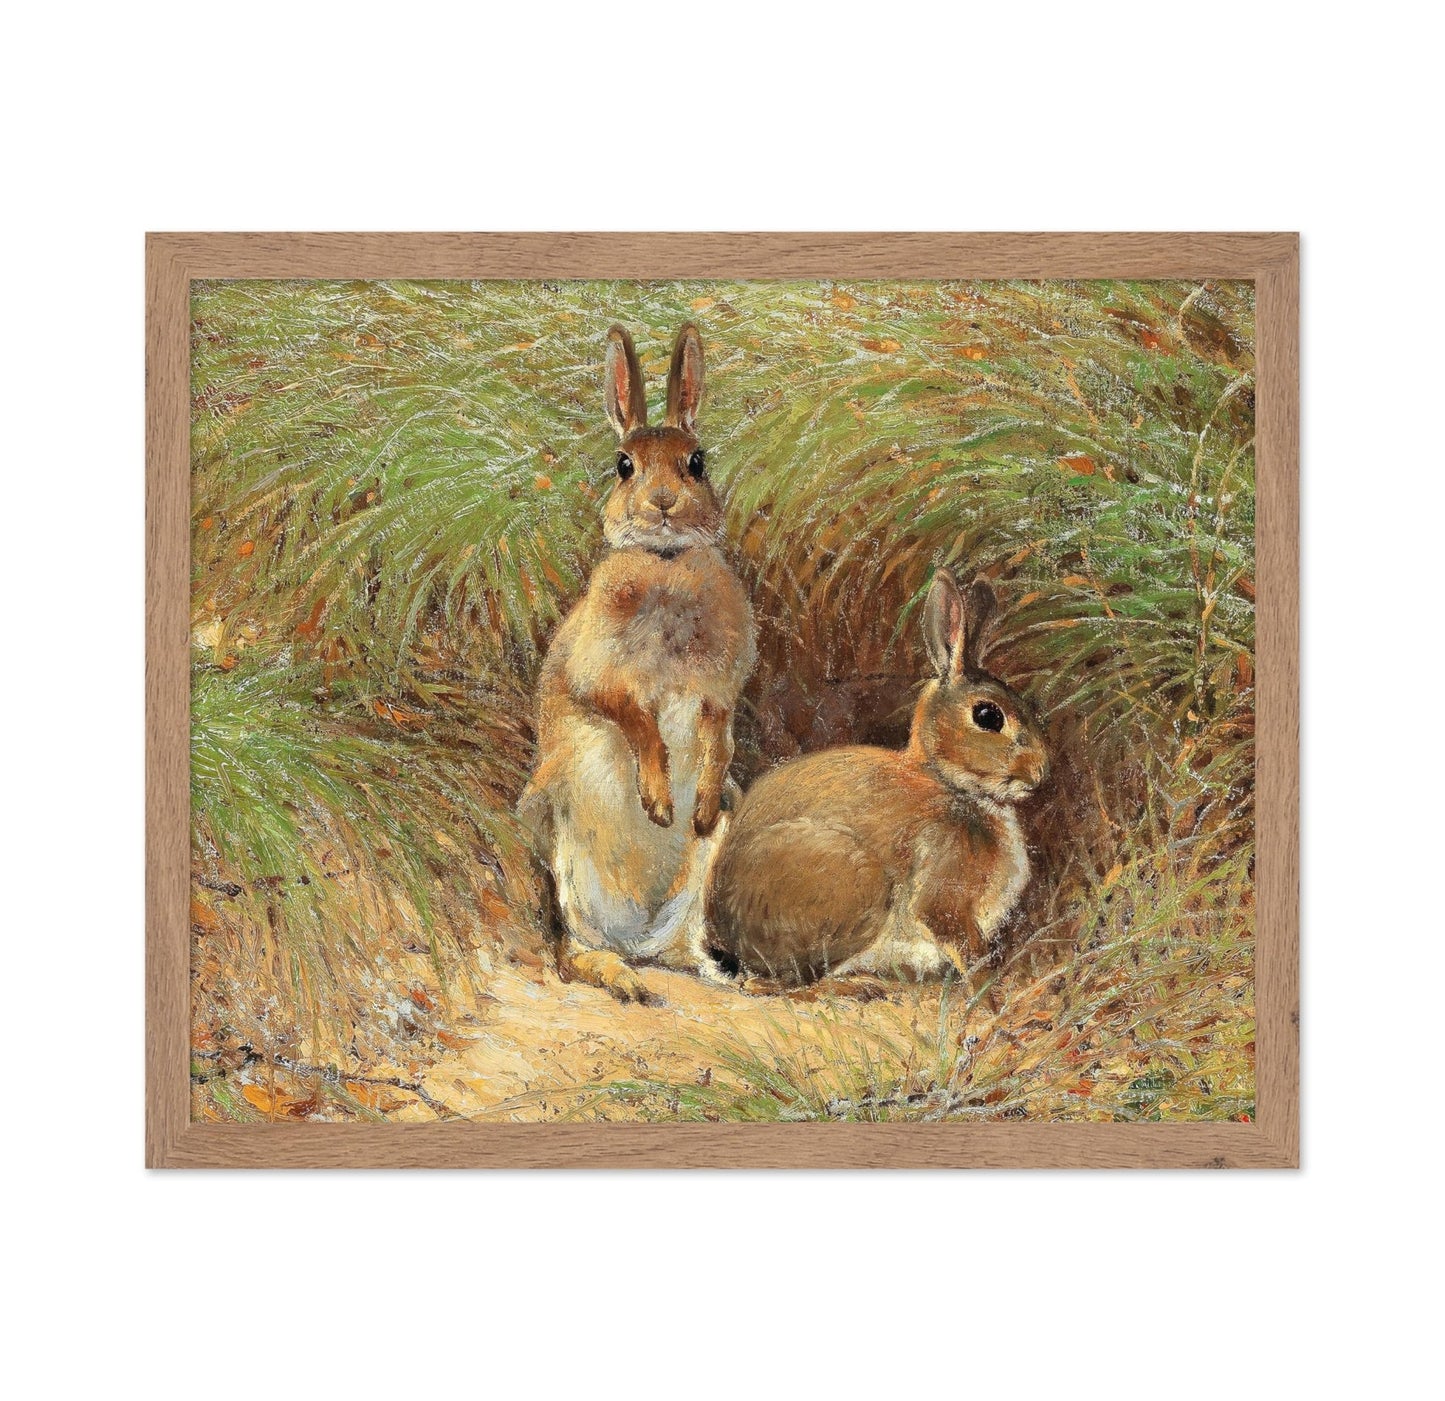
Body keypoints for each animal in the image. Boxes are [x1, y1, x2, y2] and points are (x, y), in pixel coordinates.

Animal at [518, 323, 756, 1004]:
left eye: (697, 462)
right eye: (624, 465)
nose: (665, 503)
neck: (665, 565)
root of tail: (639, 935)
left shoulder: (719, 692)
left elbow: (718, 735)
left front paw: (693, 807)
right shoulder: (597, 675)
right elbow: (635, 718)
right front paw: (658, 802)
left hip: (705, 868)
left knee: (682, 947)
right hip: (562, 842)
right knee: (571, 949)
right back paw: (620, 978)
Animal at [705, 568, 1047, 1000]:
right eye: (988, 716)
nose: (1040, 773)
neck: (949, 782)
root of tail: (724, 940)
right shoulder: (943, 893)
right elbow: (966, 946)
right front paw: (989, 989)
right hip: (856, 886)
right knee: (779, 985)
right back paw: (858, 987)